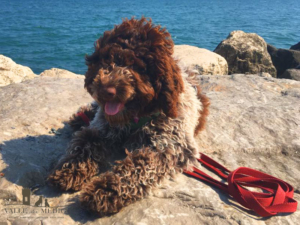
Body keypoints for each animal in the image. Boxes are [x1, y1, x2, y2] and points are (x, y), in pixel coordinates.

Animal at [48, 17, 210, 216]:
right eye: (106, 60)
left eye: (136, 66)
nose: (106, 90)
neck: (135, 118)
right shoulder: (101, 128)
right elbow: (84, 144)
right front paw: (69, 170)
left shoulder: (170, 146)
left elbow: (139, 166)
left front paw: (104, 191)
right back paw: (81, 116)